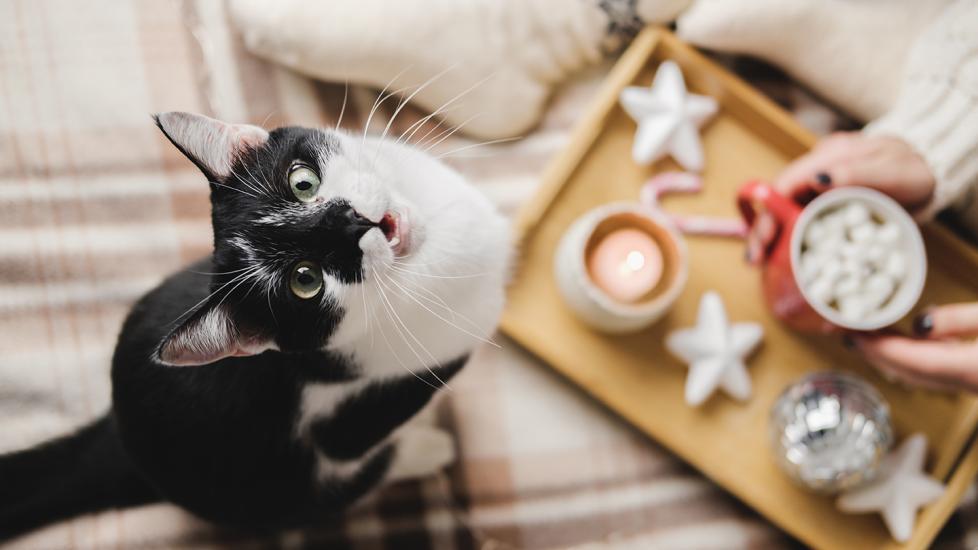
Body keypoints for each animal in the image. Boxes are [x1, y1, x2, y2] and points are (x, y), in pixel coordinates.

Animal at [1, 111, 510, 540]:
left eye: (303, 182)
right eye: (305, 280)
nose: (351, 223)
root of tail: (119, 441)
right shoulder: (356, 412)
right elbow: (353, 445)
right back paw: (429, 446)